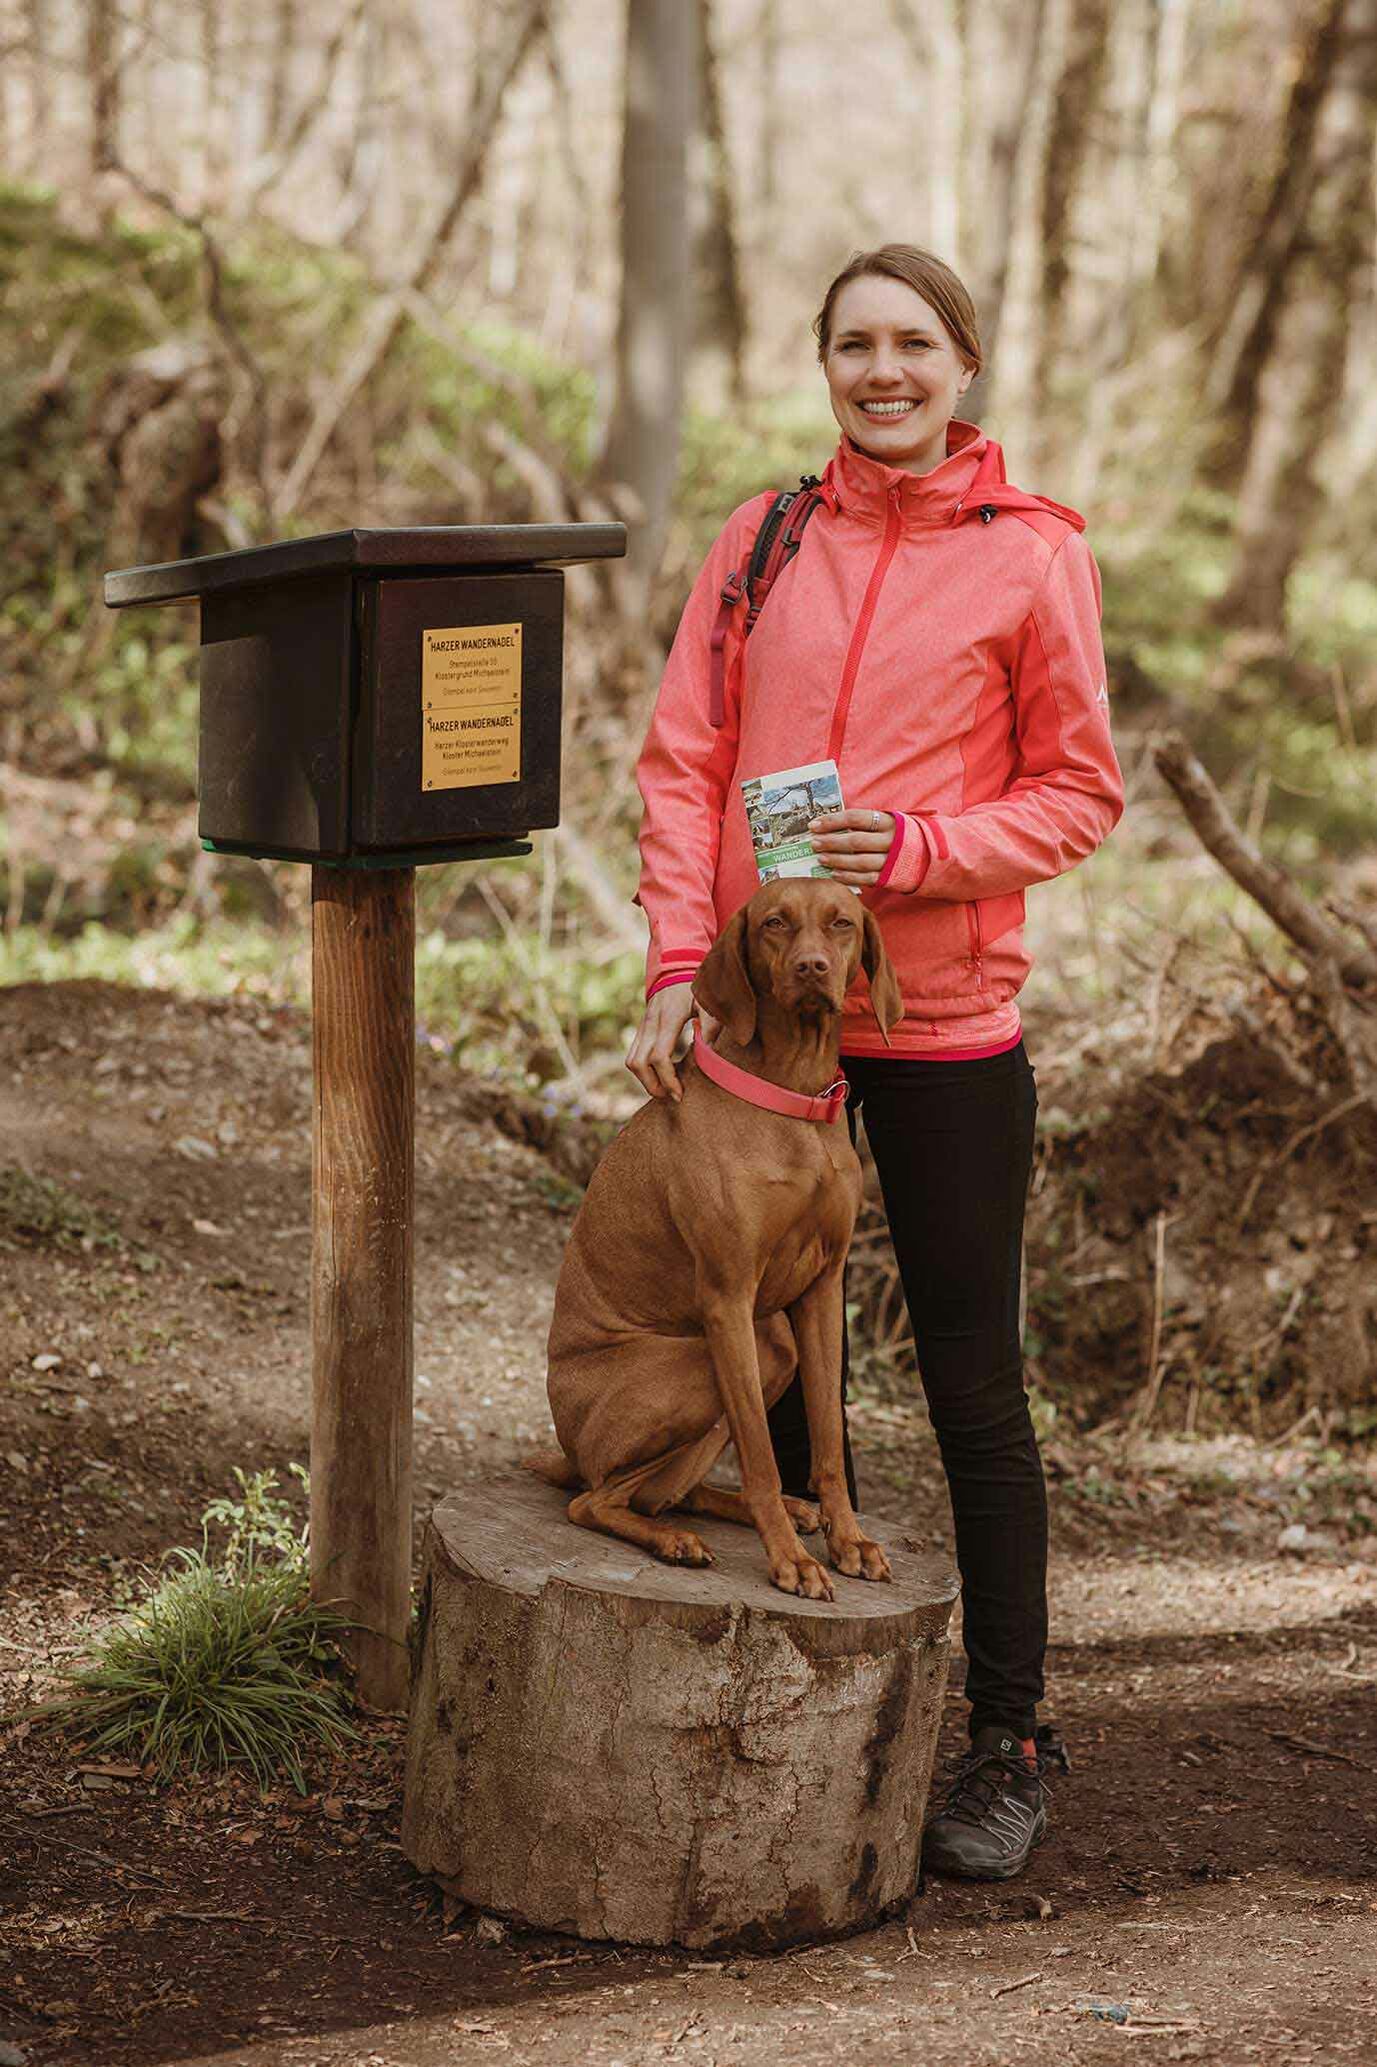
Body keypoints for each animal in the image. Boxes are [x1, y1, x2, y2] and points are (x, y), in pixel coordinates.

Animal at [527, 872, 901, 1595]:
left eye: (840, 922)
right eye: (774, 923)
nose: (812, 967)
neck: (794, 1102)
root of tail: (566, 1447)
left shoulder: (822, 1291)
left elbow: (827, 1442)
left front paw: (847, 1538)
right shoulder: (727, 1299)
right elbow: (760, 1454)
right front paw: (791, 1560)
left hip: (775, 1345)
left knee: (661, 1491)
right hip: (696, 1365)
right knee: (594, 1499)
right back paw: (675, 1540)